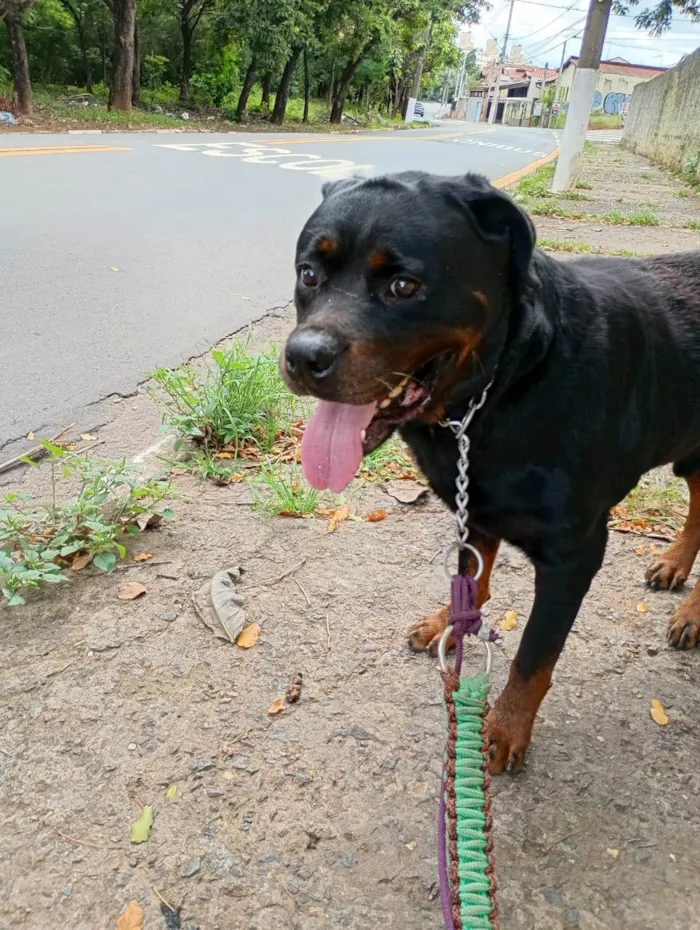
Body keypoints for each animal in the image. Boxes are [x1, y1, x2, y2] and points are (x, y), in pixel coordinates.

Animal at [282, 170, 700, 772]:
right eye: (309, 274)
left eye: (403, 286)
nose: (302, 356)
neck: (504, 383)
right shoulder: (472, 510)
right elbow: (470, 583)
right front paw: (448, 625)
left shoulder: (575, 552)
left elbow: (534, 655)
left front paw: (504, 729)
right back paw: (674, 565)